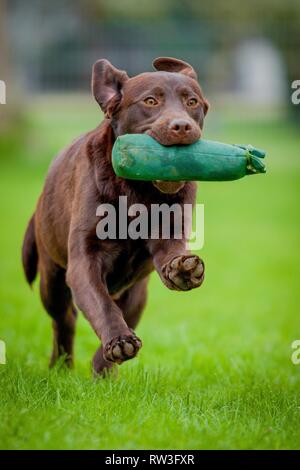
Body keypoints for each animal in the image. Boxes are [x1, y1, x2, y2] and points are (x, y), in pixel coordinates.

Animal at [21, 57, 209, 374]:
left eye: (192, 101)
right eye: (150, 101)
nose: (181, 126)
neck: (138, 192)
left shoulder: (167, 235)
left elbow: (170, 255)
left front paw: (182, 269)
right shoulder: (84, 259)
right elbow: (101, 305)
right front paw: (119, 341)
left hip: (137, 293)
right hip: (51, 279)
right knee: (64, 320)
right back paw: (61, 368)